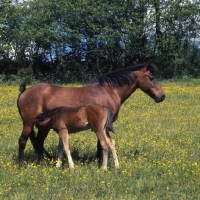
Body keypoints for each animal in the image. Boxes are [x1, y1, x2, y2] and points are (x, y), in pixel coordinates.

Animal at [17, 63, 165, 165]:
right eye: (151, 78)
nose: (162, 96)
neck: (108, 91)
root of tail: (24, 92)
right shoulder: (100, 125)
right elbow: (101, 144)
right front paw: (101, 162)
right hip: (28, 124)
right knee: (23, 141)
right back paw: (21, 164)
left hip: (43, 126)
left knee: (38, 142)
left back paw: (42, 161)